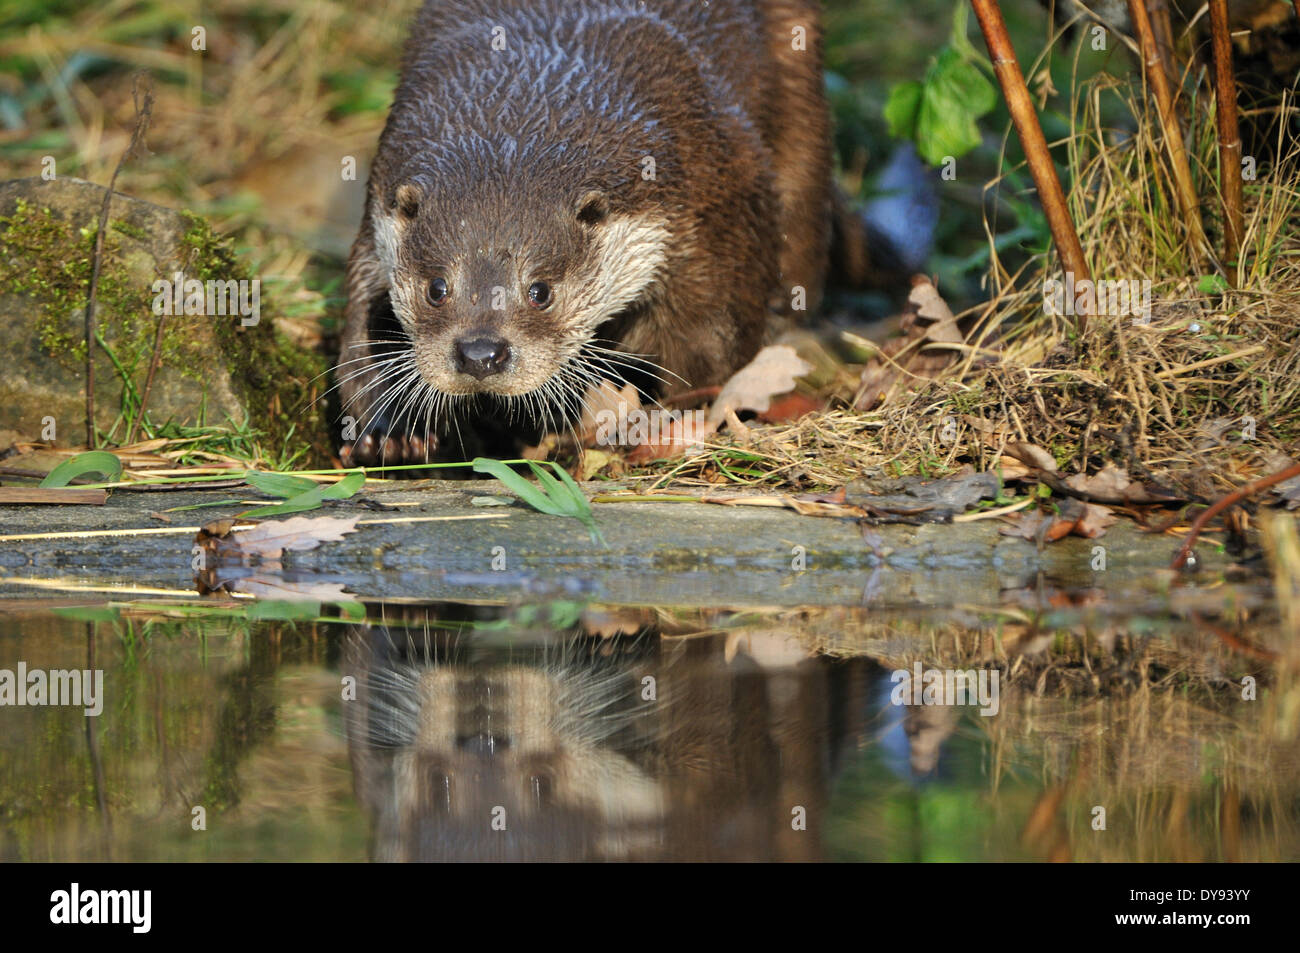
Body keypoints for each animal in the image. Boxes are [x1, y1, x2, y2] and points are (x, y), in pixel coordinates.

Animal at [338, 0, 903, 466]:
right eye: (437, 289)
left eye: (540, 291)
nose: (481, 354)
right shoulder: (378, 204)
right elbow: (358, 322)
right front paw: (389, 430)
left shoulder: (716, 196)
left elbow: (712, 335)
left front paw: (671, 421)